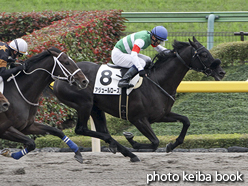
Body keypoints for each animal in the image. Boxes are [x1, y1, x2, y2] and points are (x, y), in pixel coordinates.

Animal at [53, 37, 226, 162]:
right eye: (204, 54)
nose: (221, 72)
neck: (157, 81)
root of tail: (60, 77)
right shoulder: (138, 119)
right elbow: (155, 142)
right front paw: (133, 141)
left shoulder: (161, 115)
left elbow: (186, 121)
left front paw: (171, 145)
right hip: (84, 104)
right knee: (81, 129)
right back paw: (125, 151)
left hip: (96, 107)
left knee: (102, 130)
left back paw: (119, 149)